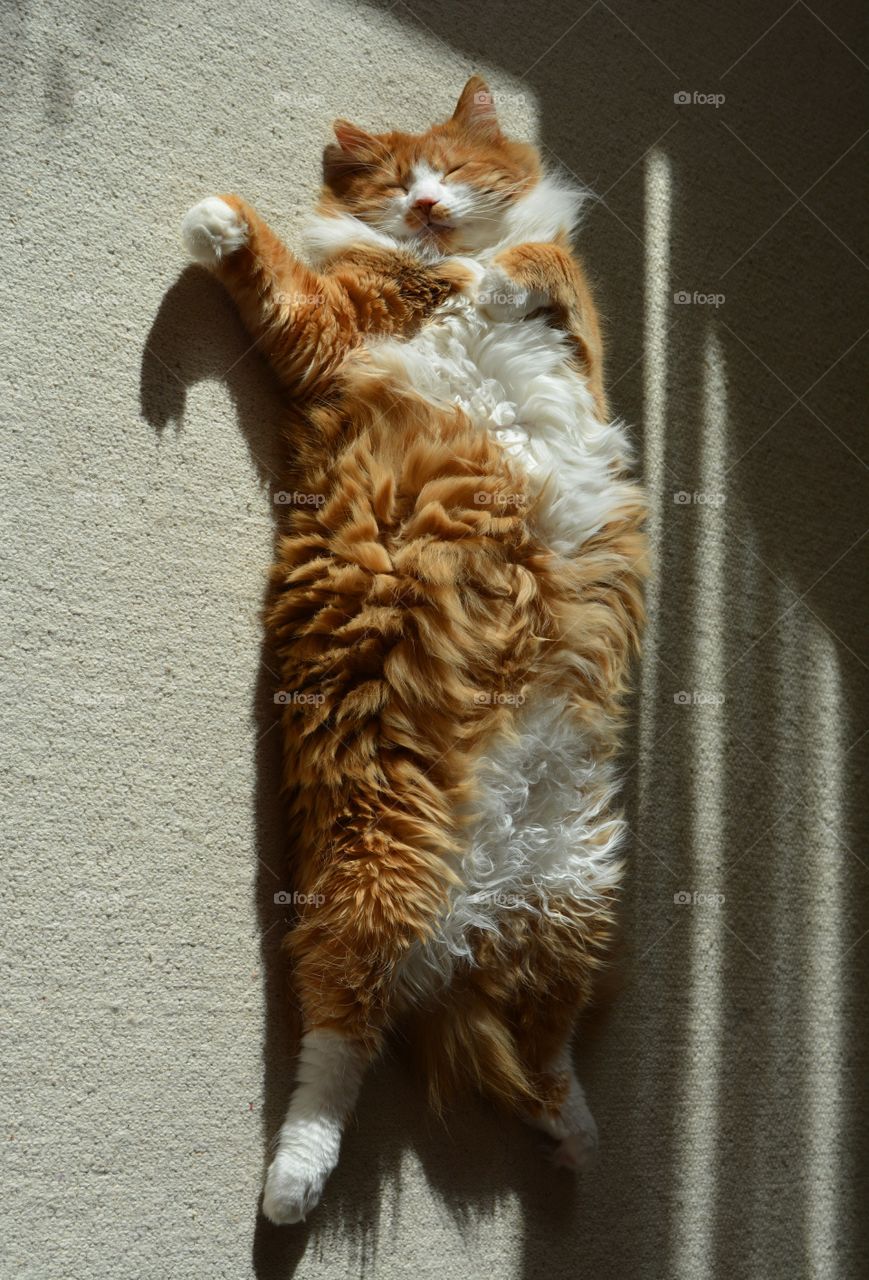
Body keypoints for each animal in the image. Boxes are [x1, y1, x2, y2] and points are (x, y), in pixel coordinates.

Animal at [181, 74, 645, 1223]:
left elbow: (543, 265)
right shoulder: (332, 330)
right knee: (338, 1042)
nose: (428, 206)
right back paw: (291, 1183)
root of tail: (472, 915)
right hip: (376, 868)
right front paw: (215, 220)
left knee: (543, 1050)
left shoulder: (588, 350)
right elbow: (277, 269)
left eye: (451, 168)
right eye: (396, 179)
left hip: (576, 896)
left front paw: (495, 273)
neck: (438, 270)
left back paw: (574, 1140)